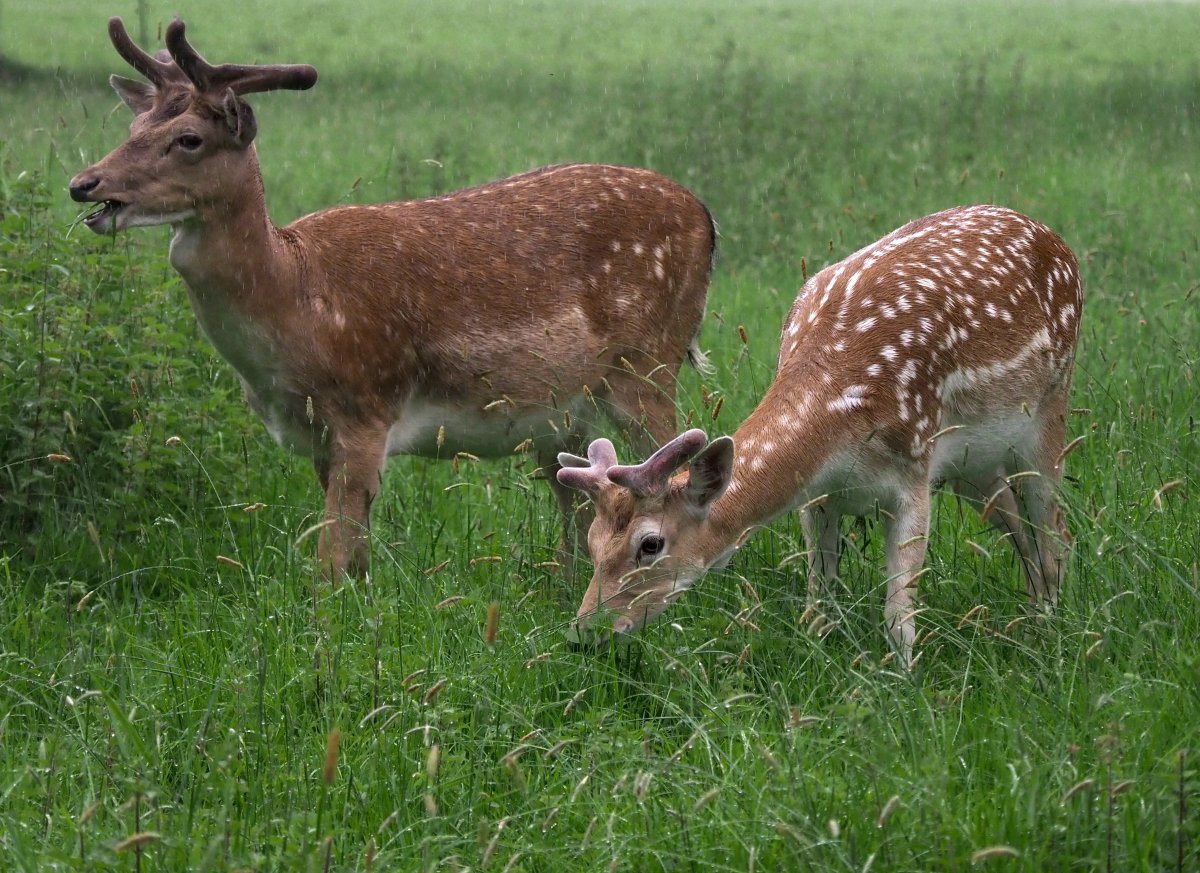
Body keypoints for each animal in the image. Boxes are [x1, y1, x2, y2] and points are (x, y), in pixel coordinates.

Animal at [65, 17, 710, 575]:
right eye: (132, 130)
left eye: (189, 139)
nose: (83, 184)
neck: (298, 300)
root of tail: (706, 218)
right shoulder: (320, 438)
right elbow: (355, 558)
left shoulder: (365, 405)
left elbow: (331, 564)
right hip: (568, 418)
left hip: (647, 365)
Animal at [556, 205, 1084, 666]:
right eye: (593, 542)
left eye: (650, 544)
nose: (585, 632)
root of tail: (1056, 240)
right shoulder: (819, 498)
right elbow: (818, 602)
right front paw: (820, 651)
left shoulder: (914, 470)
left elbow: (898, 617)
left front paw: (905, 683)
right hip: (973, 462)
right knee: (1017, 522)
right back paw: (1033, 614)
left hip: (1049, 410)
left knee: (1055, 528)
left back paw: (1051, 631)